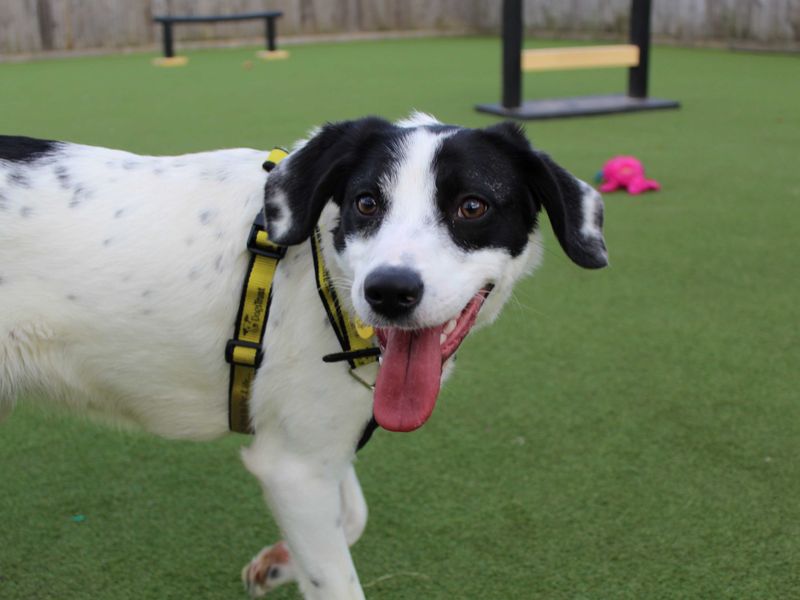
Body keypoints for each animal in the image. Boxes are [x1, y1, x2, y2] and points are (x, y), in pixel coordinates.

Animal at [0, 111, 608, 596]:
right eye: (366, 202)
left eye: (472, 206)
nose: (388, 292)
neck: (318, 268)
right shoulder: (294, 469)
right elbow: (338, 574)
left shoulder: (316, 445)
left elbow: (352, 515)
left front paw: (280, 561)